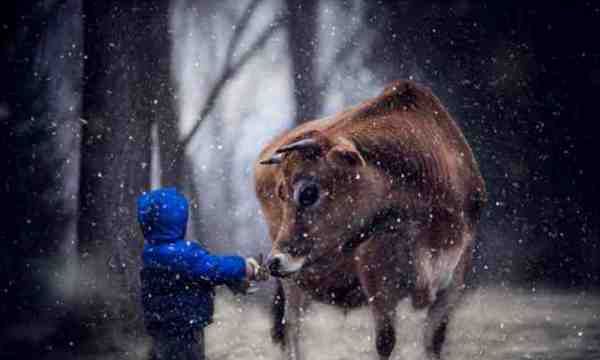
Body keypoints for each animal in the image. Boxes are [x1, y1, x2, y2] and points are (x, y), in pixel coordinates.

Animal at [255, 80, 486, 358]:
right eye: (281, 193)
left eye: (308, 192)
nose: (274, 261)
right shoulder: (378, 280)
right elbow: (385, 341)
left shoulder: (455, 278)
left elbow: (434, 340)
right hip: (293, 284)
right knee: (291, 329)